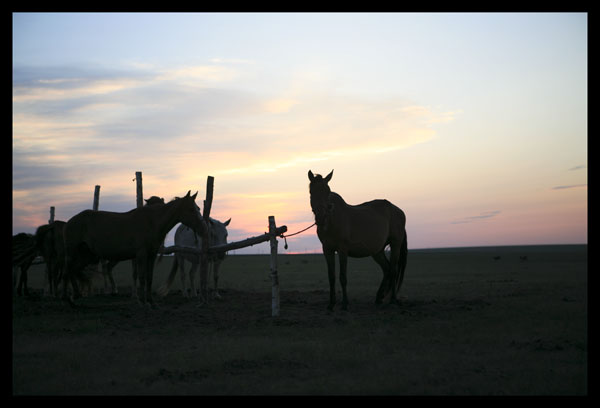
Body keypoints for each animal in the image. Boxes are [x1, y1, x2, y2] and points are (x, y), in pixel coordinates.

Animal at [61, 191, 205, 306]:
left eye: (198, 208)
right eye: (191, 209)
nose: (203, 228)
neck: (152, 222)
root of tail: (70, 221)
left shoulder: (151, 255)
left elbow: (149, 277)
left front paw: (151, 301)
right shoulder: (141, 255)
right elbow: (141, 277)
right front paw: (142, 301)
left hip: (86, 256)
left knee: (73, 270)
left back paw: (74, 296)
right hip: (74, 253)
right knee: (67, 270)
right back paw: (68, 298)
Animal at [310, 169, 408, 310]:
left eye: (327, 191)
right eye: (312, 191)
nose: (321, 218)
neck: (332, 220)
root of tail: (398, 211)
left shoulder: (343, 250)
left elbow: (343, 277)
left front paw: (345, 304)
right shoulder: (327, 250)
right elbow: (331, 277)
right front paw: (331, 304)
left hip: (395, 245)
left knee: (393, 270)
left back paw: (393, 300)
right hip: (377, 251)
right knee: (387, 269)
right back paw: (379, 297)